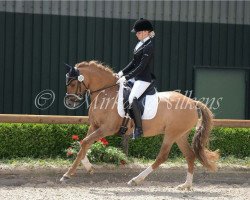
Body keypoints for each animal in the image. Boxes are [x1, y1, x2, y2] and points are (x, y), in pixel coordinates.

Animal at [60, 60, 219, 190]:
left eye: (73, 84)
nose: (69, 102)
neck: (105, 92)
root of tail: (192, 102)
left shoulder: (106, 129)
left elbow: (85, 143)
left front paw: (67, 174)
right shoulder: (94, 126)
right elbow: (83, 144)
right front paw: (89, 168)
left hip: (171, 134)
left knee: (162, 157)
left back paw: (136, 180)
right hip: (180, 135)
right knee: (190, 155)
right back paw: (186, 185)